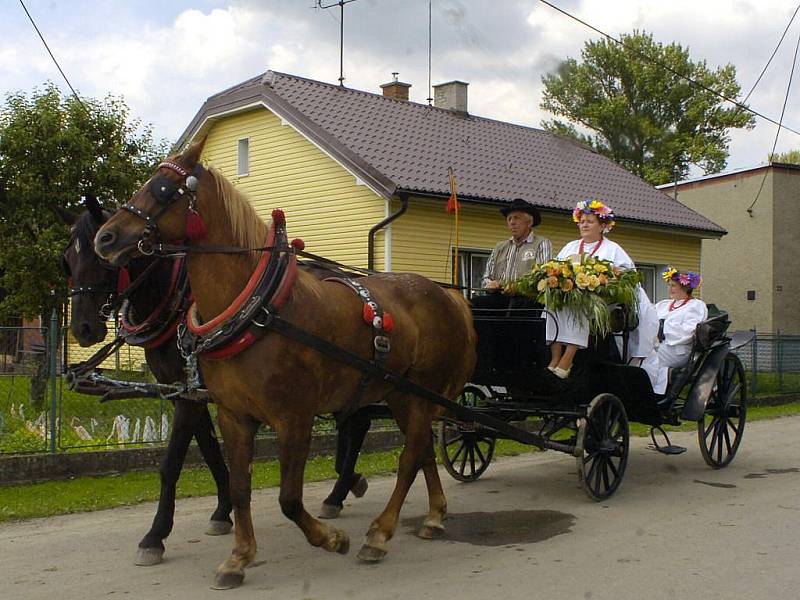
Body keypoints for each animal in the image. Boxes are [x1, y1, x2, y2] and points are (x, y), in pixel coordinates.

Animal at [97, 142, 478, 592]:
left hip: (418, 393)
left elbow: (289, 499)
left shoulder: (294, 419)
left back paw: (379, 534)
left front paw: (332, 539)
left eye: (161, 188)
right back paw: (434, 516)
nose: (106, 237)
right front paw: (238, 557)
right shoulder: (233, 416)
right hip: (404, 396)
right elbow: (240, 488)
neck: (258, 309)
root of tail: (447, 293)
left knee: (408, 459)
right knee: (421, 451)